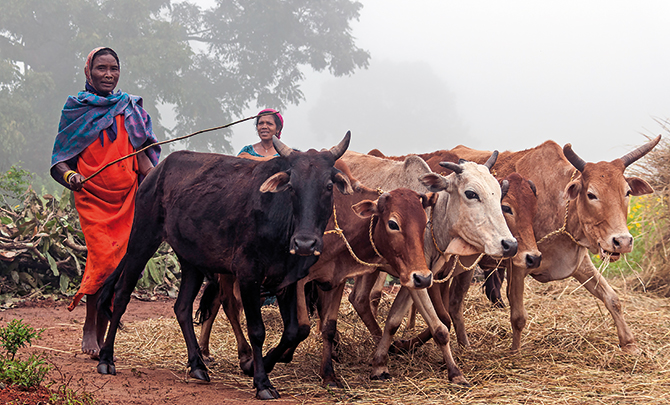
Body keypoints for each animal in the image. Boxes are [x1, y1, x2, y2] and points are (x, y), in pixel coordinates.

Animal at [95, 134, 353, 400]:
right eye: (292, 187)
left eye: (328, 186)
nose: (304, 243)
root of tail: (157, 172)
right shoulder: (249, 275)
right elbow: (257, 330)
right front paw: (261, 380)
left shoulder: (288, 280)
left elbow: (295, 331)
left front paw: (258, 365)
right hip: (142, 240)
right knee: (122, 295)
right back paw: (106, 358)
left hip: (191, 261)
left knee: (182, 307)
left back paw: (197, 365)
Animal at [197, 185, 439, 388]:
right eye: (393, 224)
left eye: (424, 221)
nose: (423, 277)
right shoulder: (297, 283)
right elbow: (300, 328)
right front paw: (266, 361)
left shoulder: (336, 280)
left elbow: (328, 327)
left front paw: (329, 375)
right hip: (229, 270)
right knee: (229, 305)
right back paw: (244, 355)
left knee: (217, 302)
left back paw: (206, 352)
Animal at [340, 150, 517, 385]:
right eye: (471, 193)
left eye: (498, 196)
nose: (510, 244)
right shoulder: (415, 280)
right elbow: (439, 327)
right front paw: (455, 372)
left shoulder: (418, 278)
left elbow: (396, 320)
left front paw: (390, 353)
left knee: (359, 299)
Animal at [450, 135, 660, 353]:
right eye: (591, 194)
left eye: (627, 192)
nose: (623, 241)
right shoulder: (519, 264)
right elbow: (518, 316)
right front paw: (515, 351)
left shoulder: (579, 262)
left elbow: (612, 298)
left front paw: (629, 344)